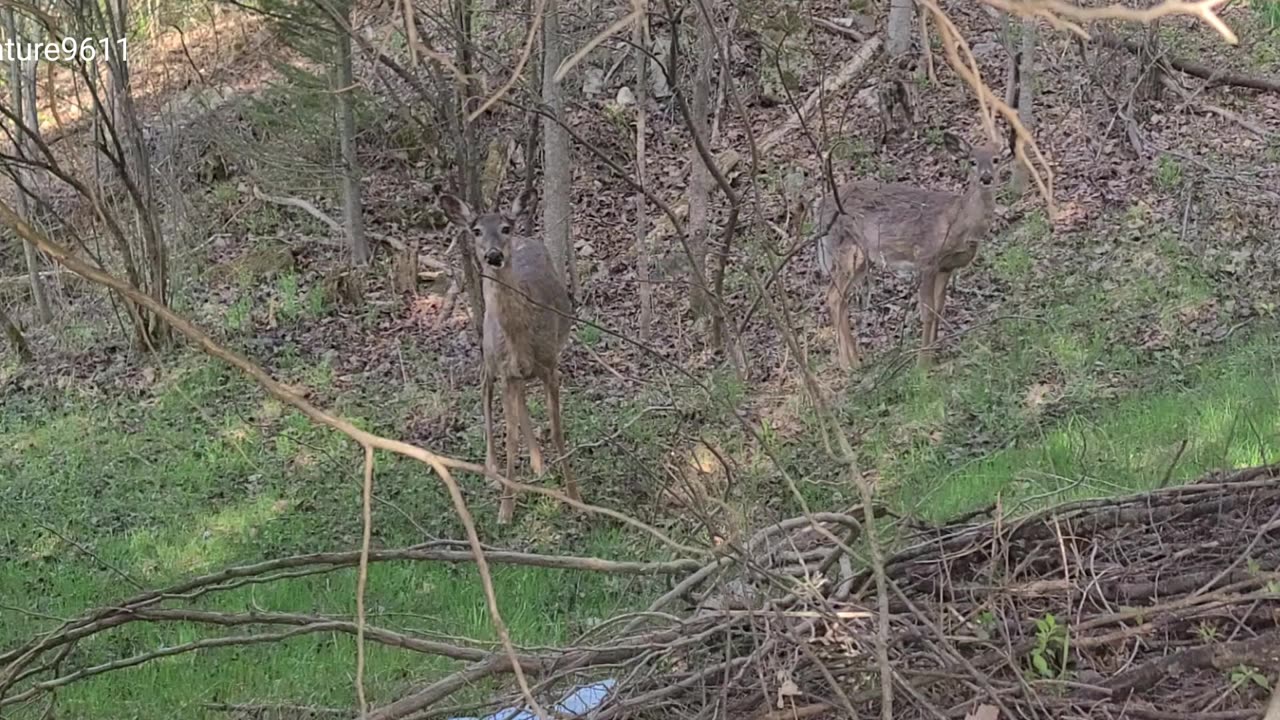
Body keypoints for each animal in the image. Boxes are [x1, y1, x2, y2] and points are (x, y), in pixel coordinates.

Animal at [442, 185, 578, 520]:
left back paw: (538, 464)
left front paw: (576, 497)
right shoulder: (505, 371)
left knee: (521, 402)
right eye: (476, 230)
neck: (521, 337)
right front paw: (506, 508)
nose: (493, 255)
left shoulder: (549, 365)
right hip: (490, 357)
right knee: (484, 389)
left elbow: (556, 430)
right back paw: (492, 471)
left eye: (505, 228)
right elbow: (511, 438)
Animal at [814, 129, 1003, 366]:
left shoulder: (946, 267)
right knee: (833, 296)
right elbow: (927, 311)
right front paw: (923, 362)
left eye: (996, 160)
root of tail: (818, 207)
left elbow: (939, 308)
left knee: (840, 298)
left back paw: (856, 361)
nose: (986, 178)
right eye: (972, 161)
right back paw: (849, 365)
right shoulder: (926, 258)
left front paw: (934, 352)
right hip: (845, 249)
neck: (957, 222)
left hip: (862, 258)